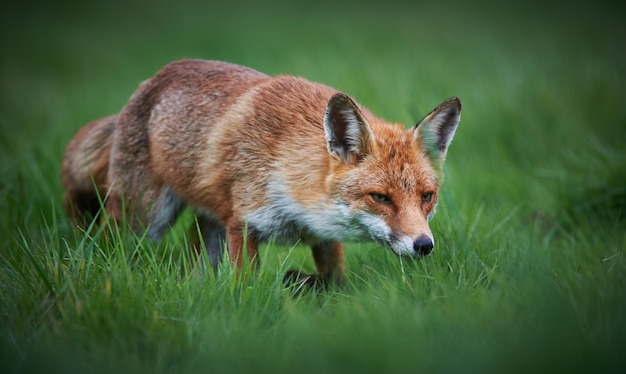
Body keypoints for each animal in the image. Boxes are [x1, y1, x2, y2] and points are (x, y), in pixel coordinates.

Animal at [61, 59, 460, 286]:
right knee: (110, 250)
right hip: (144, 220)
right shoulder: (243, 225)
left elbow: (335, 280)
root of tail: (147, 83)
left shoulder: (323, 235)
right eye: (380, 197)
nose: (424, 245)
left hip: (208, 226)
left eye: (427, 197)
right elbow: (246, 287)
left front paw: (305, 285)